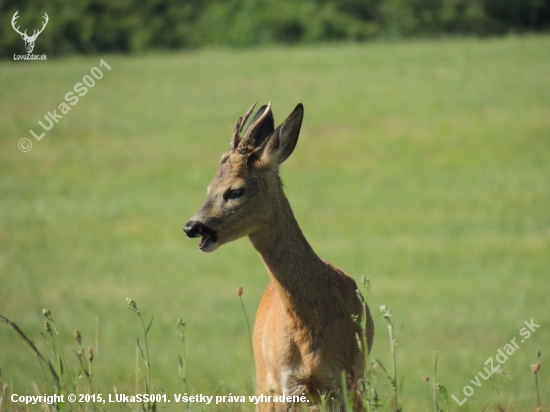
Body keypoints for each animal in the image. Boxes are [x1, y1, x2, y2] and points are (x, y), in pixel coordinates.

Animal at [185, 102, 376, 408]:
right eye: (208, 187)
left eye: (235, 190)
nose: (192, 227)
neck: (308, 332)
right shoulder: (286, 383)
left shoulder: (343, 380)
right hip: (264, 381)